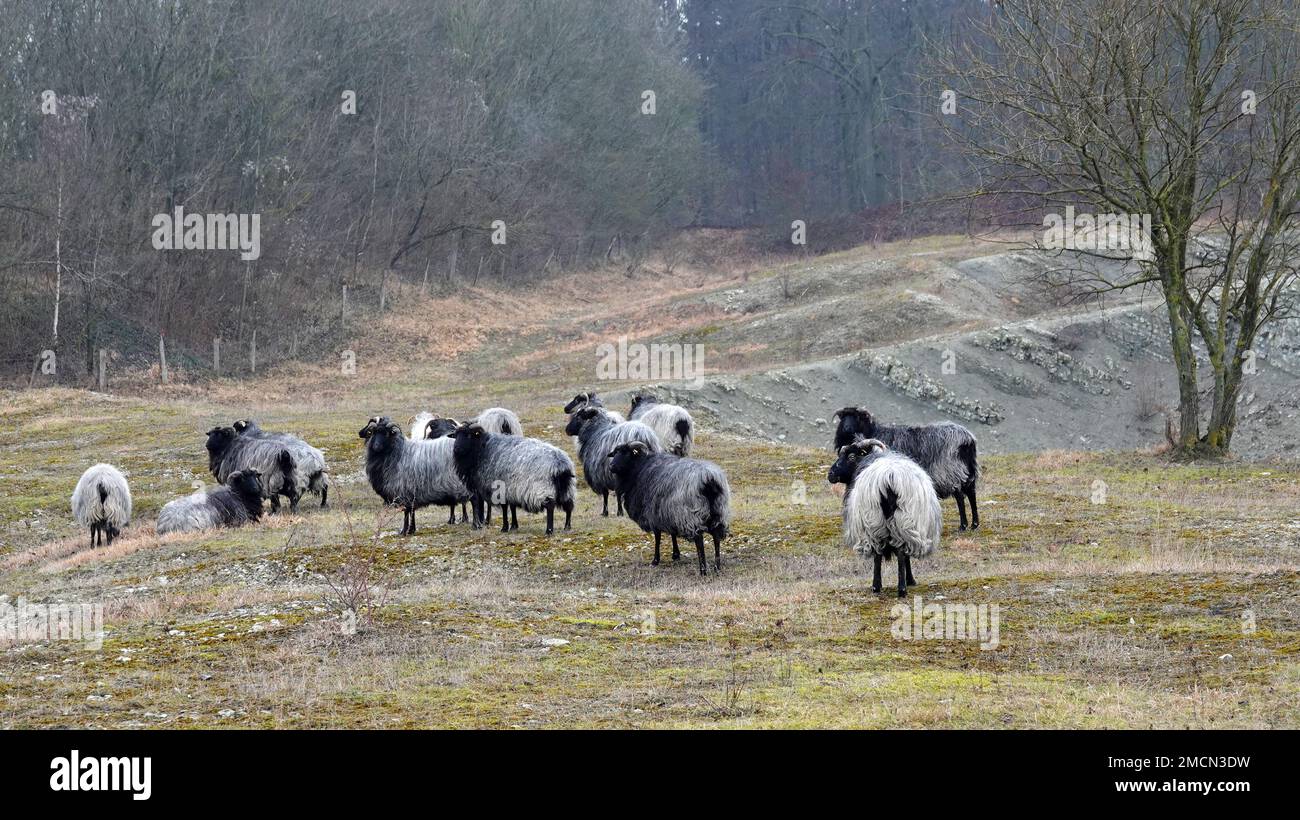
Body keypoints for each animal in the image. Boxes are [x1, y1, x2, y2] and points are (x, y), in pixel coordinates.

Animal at [608, 441, 733, 576]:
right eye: (615, 453)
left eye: (626, 453)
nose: (611, 466)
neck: (638, 469)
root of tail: (709, 478)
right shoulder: (668, 512)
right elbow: (672, 533)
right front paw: (675, 554)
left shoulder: (654, 514)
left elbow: (657, 537)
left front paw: (655, 560)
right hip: (718, 510)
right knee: (716, 537)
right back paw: (717, 567)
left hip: (691, 514)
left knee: (699, 540)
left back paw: (703, 570)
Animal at [826, 408, 977, 532]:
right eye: (843, 417)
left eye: (857, 417)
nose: (847, 427)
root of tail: (968, 440)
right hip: (967, 470)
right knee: (971, 493)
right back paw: (975, 524)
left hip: (950, 472)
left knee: (960, 497)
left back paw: (963, 526)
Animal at [837, 439, 941, 600]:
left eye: (851, 456)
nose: (830, 474)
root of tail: (888, 478)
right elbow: (905, 557)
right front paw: (911, 581)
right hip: (902, 520)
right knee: (900, 553)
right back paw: (902, 588)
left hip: (874, 520)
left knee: (878, 552)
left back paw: (876, 586)